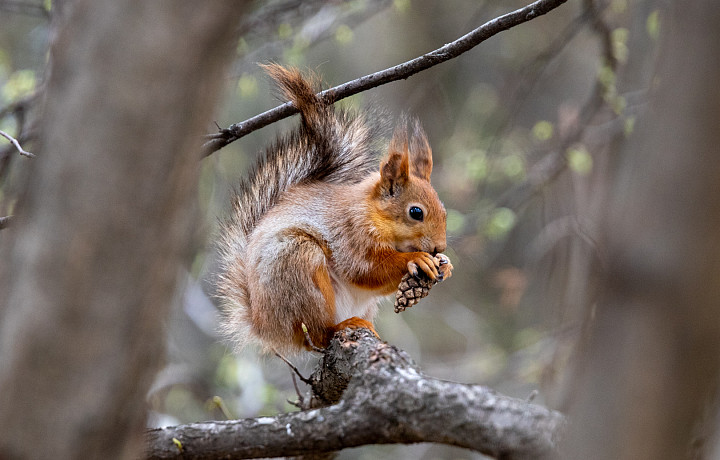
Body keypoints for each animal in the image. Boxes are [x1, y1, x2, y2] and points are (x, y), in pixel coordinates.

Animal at [215, 63, 450, 352]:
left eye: (444, 211)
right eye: (416, 212)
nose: (439, 247)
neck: (374, 215)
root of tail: (264, 325)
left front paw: (446, 265)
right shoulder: (350, 234)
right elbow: (366, 270)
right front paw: (415, 258)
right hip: (298, 266)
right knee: (317, 335)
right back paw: (340, 326)